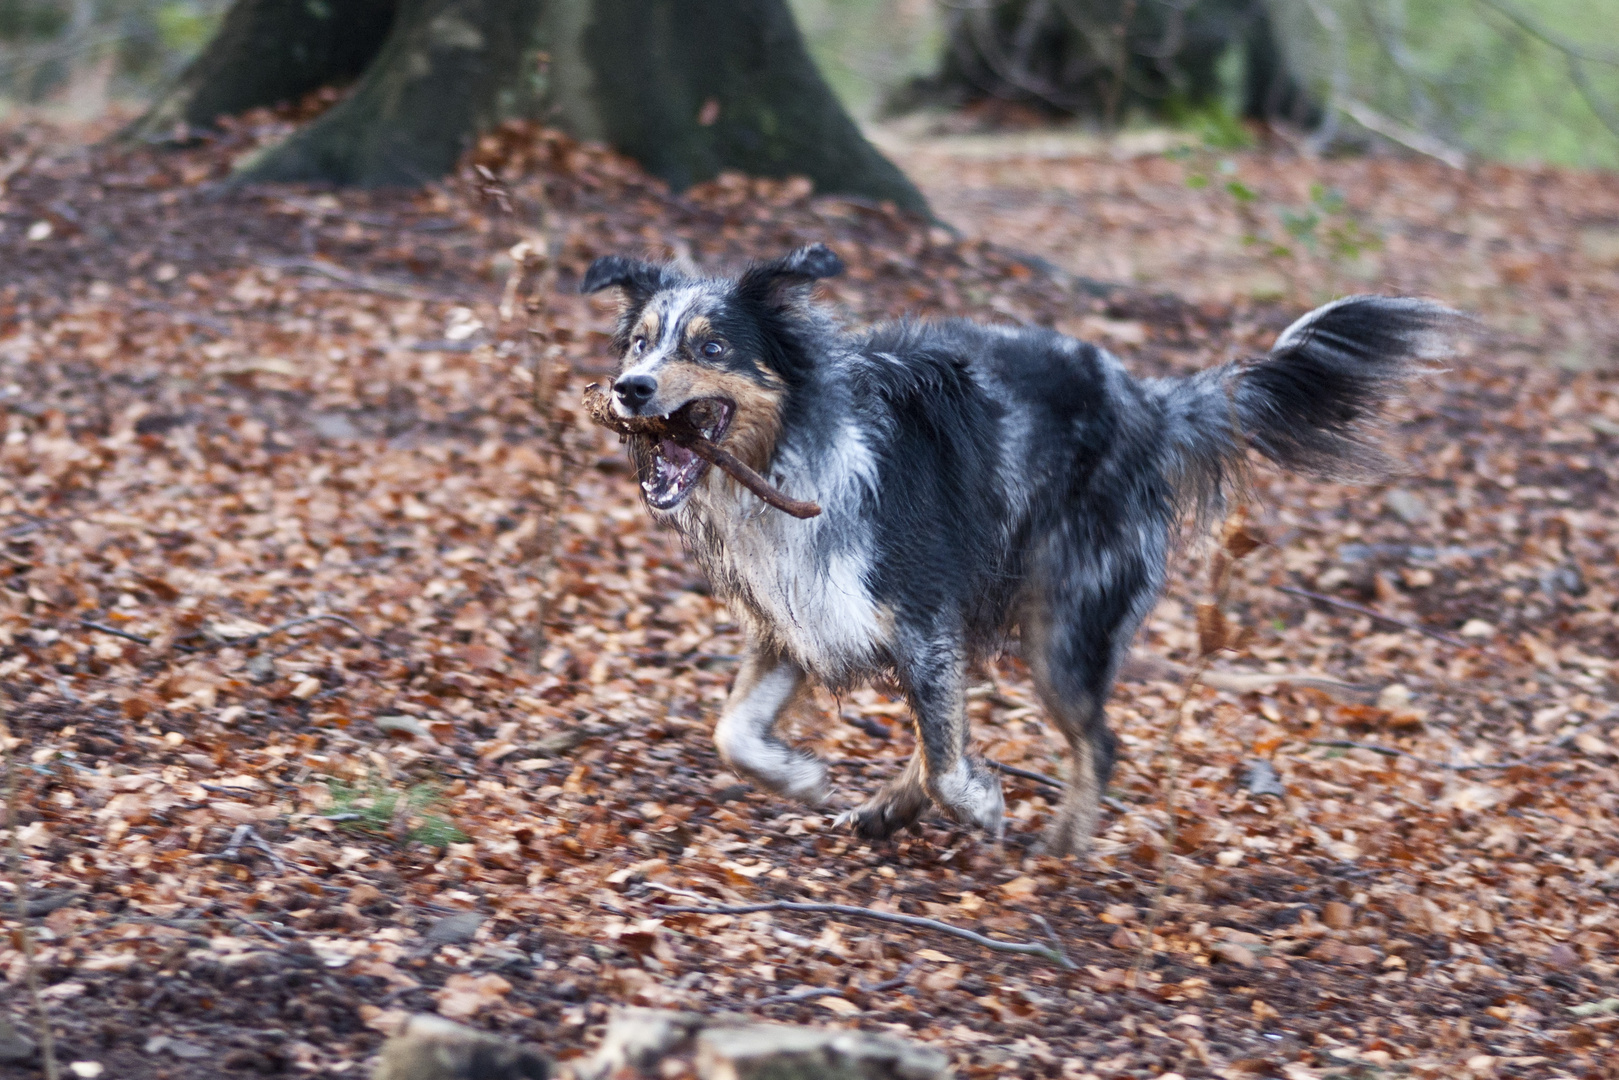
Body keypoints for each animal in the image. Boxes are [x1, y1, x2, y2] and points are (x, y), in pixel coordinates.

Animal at [586, 242, 1457, 854]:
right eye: (638, 344)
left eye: (711, 348)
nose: (629, 390)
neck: (796, 456)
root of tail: (1150, 403)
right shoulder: (798, 617)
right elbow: (733, 734)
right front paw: (802, 778)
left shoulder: (919, 614)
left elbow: (946, 757)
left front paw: (975, 804)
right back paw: (888, 810)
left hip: (1064, 629)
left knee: (1098, 743)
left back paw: (1062, 844)